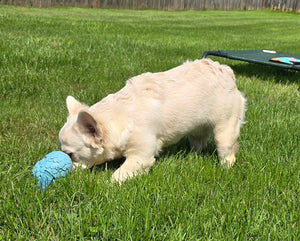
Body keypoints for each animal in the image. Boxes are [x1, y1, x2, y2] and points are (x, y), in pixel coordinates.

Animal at [58, 58, 246, 183]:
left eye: (70, 155)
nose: (66, 170)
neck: (120, 116)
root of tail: (226, 71)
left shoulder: (141, 157)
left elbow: (117, 176)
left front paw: (107, 185)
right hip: (197, 128)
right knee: (199, 141)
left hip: (225, 129)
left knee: (227, 151)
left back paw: (225, 168)